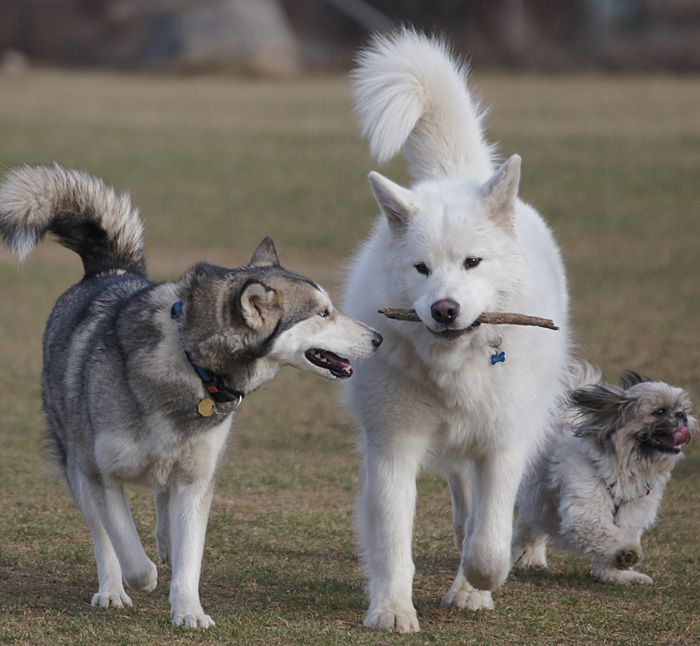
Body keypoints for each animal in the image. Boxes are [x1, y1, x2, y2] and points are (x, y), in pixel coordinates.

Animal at [342, 29, 572, 632]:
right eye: (421, 269)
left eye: (472, 263)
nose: (445, 310)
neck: (453, 366)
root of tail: (456, 174)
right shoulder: (393, 447)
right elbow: (393, 540)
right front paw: (392, 611)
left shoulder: (503, 445)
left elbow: (489, 543)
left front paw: (477, 584)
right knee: (459, 496)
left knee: (476, 514)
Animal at [512, 364, 696, 588]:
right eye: (660, 411)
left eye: (683, 408)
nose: (681, 415)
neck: (625, 467)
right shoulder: (587, 507)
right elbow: (603, 532)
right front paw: (626, 552)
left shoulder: (632, 512)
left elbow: (620, 538)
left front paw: (618, 572)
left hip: (539, 500)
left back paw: (529, 557)